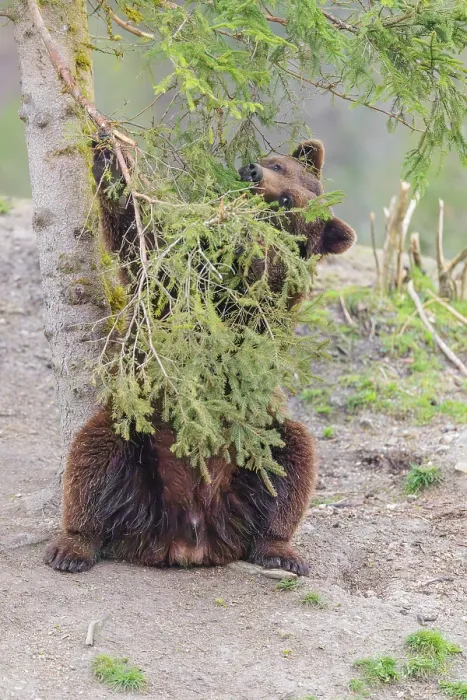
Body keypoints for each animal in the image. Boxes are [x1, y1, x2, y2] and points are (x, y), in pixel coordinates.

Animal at [44, 139, 355, 576]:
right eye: (277, 163)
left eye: (287, 200)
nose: (253, 172)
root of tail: (190, 536)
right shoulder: (176, 284)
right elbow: (143, 239)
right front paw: (111, 156)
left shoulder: (252, 315)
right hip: (138, 434)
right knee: (95, 462)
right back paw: (74, 547)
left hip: (255, 437)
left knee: (292, 461)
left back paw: (279, 550)